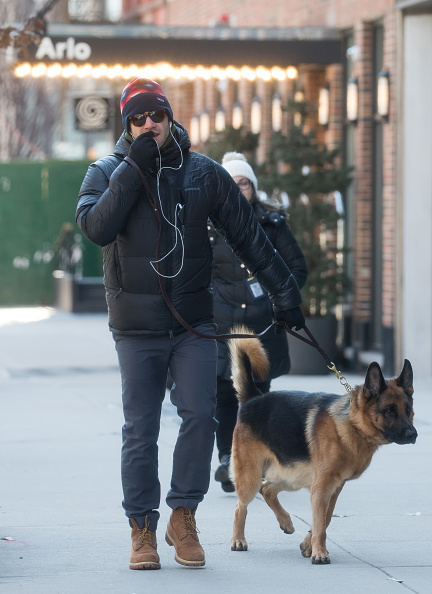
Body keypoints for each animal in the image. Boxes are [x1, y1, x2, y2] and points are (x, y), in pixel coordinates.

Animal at [228, 326, 416, 560]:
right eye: (389, 411)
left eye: (408, 410)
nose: (413, 434)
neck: (352, 425)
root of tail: (254, 398)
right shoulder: (321, 487)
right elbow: (320, 522)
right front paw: (319, 553)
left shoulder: (332, 488)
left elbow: (324, 521)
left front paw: (309, 545)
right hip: (251, 478)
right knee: (241, 505)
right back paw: (238, 539)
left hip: (293, 477)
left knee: (267, 489)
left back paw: (286, 521)